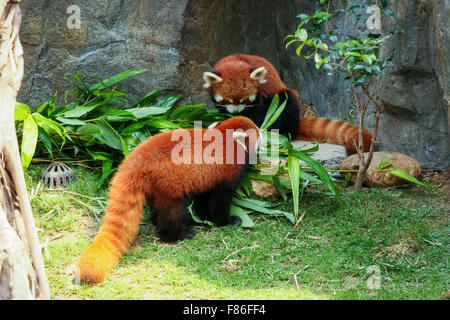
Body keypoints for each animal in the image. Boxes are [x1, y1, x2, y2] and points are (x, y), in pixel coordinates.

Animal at [77, 116, 260, 284]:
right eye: (258, 134)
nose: (264, 134)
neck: (226, 138)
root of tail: (135, 159)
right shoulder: (226, 172)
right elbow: (219, 202)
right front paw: (227, 221)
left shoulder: (207, 177)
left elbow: (203, 200)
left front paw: (204, 217)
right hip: (170, 183)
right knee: (172, 212)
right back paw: (179, 234)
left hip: (153, 184)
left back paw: (156, 221)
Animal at [204, 54, 372, 155]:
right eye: (227, 101)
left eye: (244, 101)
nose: (236, 112)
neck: (236, 61)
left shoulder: (261, 95)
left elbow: (258, 116)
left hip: (284, 99)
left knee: (286, 105)